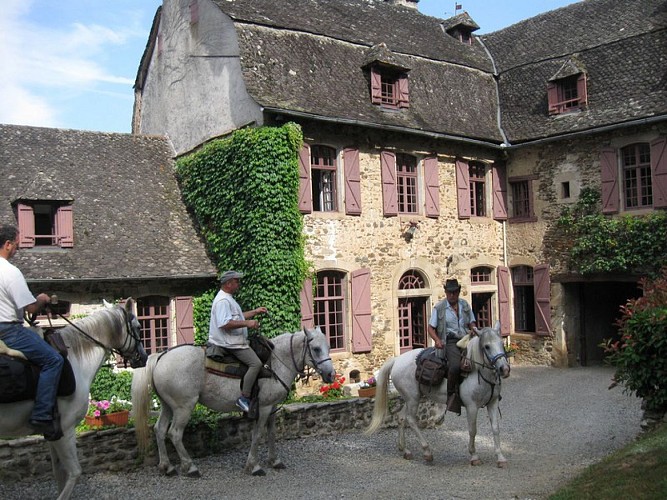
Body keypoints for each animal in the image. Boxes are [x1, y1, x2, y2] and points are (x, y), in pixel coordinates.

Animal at [0, 298, 147, 498]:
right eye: (138, 327)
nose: (144, 357)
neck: (76, 358)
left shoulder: (53, 434)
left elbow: (59, 473)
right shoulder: (66, 430)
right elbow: (74, 473)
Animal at [132, 328, 336, 476]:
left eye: (328, 346)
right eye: (316, 349)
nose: (330, 375)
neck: (275, 364)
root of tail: (160, 357)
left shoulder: (272, 407)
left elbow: (271, 434)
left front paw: (274, 461)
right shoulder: (263, 408)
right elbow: (257, 435)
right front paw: (254, 466)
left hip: (168, 405)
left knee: (159, 430)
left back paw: (167, 467)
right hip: (184, 407)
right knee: (174, 433)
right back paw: (190, 468)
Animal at [368, 322, 516, 466]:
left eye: (501, 343)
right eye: (487, 346)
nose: (504, 369)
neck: (478, 371)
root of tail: (397, 360)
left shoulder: (493, 403)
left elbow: (496, 428)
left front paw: (500, 458)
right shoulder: (472, 406)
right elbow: (472, 430)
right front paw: (474, 456)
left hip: (410, 399)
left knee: (401, 418)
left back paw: (405, 450)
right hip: (413, 399)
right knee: (411, 420)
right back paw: (427, 452)